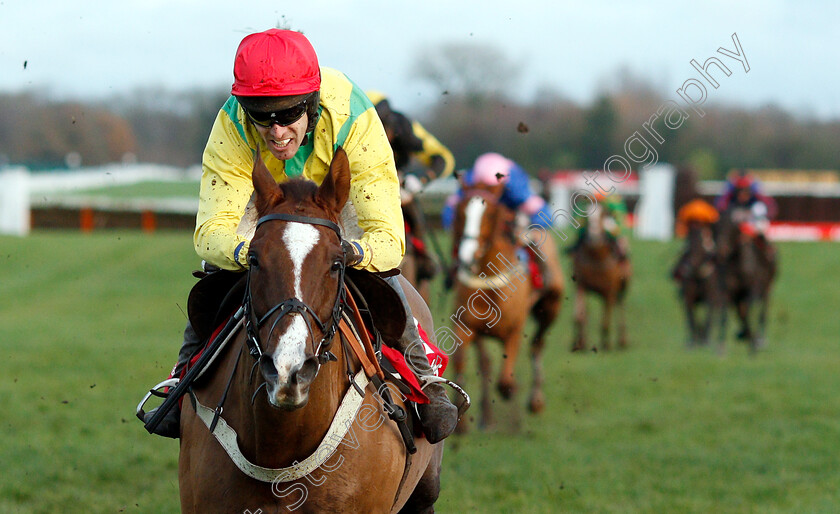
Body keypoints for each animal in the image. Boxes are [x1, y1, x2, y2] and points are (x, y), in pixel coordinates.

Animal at [450, 184, 560, 428]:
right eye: (460, 211)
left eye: (490, 214)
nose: (467, 256)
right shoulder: (467, 326)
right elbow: (466, 363)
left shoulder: (514, 330)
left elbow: (505, 381)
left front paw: (512, 392)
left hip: (551, 306)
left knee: (537, 345)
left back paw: (536, 400)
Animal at [572, 202, 632, 350]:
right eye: (586, 216)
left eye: (603, 215)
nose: (594, 237)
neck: (597, 258)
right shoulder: (582, 285)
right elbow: (579, 317)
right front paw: (579, 343)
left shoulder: (609, 290)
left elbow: (606, 320)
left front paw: (606, 344)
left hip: (622, 288)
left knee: (620, 306)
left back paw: (622, 340)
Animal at [716, 208, 780, 352]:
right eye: (716, 227)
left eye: (732, 227)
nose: (722, 251)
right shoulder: (729, 291)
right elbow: (726, 315)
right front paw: (722, 345)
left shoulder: (752, 289)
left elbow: (749, 312)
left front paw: (754, 343)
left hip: (767, 287)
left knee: (763, 312)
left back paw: (761, 339)